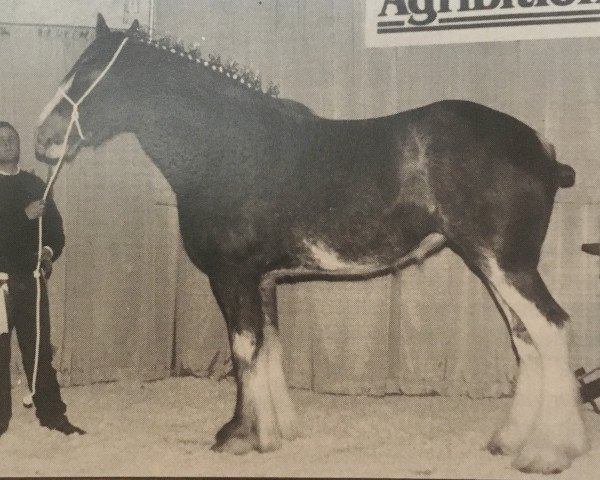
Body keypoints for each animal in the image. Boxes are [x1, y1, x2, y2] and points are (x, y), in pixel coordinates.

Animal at [35, 14, 588, 472]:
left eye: (89, 72)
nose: (43, 139)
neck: (230, 149)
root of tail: (540, 148)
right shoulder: (264, 281)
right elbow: (268, 349)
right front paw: (276, 432)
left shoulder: (233, 276)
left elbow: (243, 350)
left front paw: (239, 436)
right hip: (493, 266)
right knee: (525, 338)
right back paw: (509, 441)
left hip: (504, 263)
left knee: (551, 328)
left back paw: (547, 453)